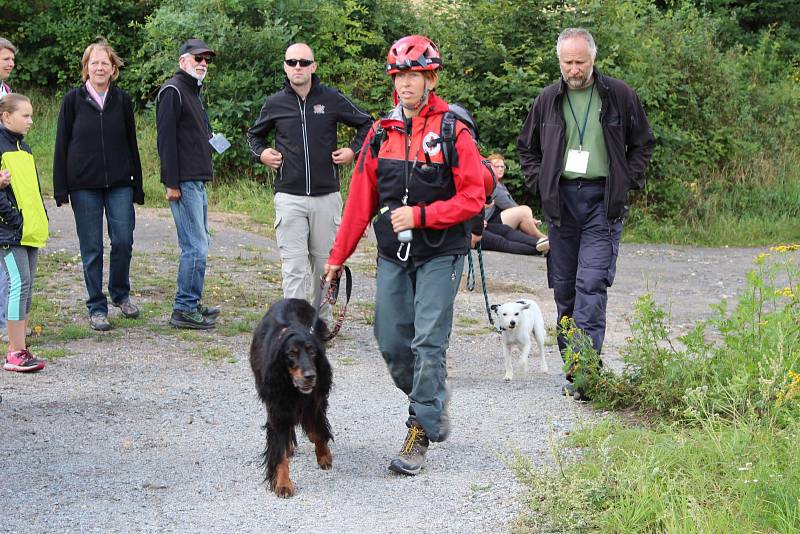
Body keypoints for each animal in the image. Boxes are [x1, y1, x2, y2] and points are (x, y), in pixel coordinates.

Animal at [248, 300, 332, 500]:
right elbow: (279, 451)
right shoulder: (277, 407)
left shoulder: (313, 401)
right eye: (291, 354)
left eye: (312, 351)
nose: (310, 376)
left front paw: (324, 455)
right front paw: (283, 484)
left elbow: (318, 428)